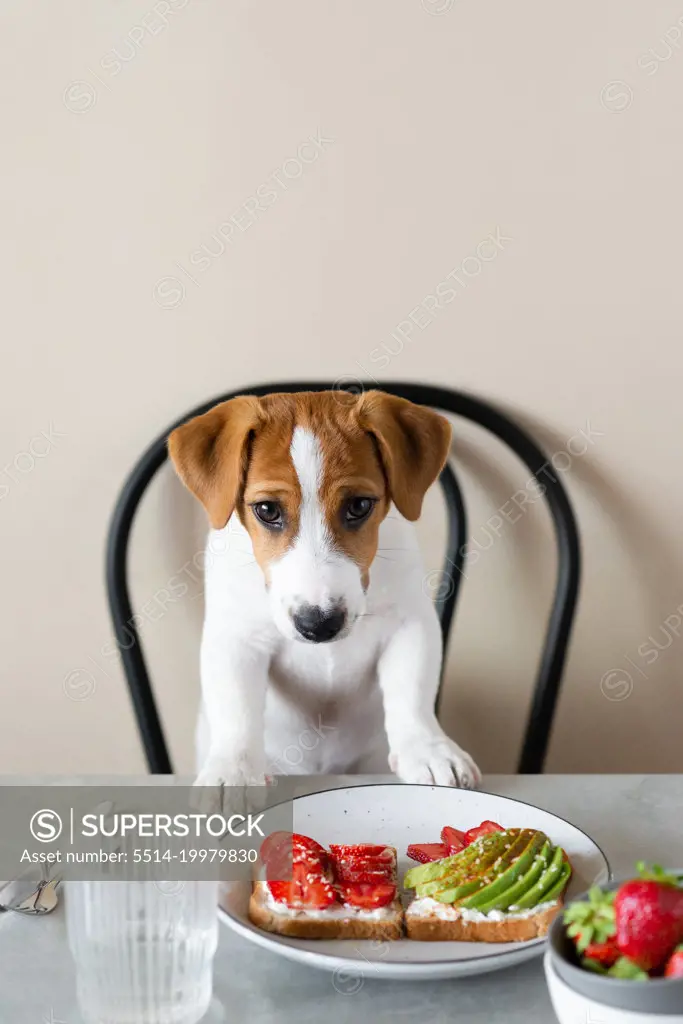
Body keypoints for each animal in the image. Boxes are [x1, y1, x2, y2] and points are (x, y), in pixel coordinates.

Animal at [169, 387, 481, 794]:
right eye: (266, 510)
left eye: (359, 505)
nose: (318, 626)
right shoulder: (236, 637)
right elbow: (236, 706)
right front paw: (233, 771)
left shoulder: (409, 623)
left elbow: (412, 692)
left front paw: (428, 750)